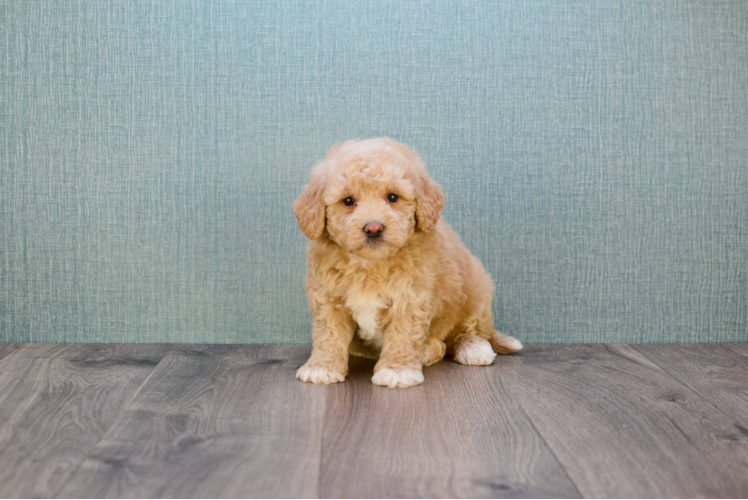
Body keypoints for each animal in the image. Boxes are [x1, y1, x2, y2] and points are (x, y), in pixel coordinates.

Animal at [292, 139, 520, 388]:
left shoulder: (410, 297)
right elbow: (328, 334)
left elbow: (403, 334)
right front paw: (322, 367)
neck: (369, 265)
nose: (374, 228)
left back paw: (470, 348)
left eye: (393, 197)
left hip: (476, 289)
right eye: (348, 201)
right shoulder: (328, 297)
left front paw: (397, 370)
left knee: (468, 330)